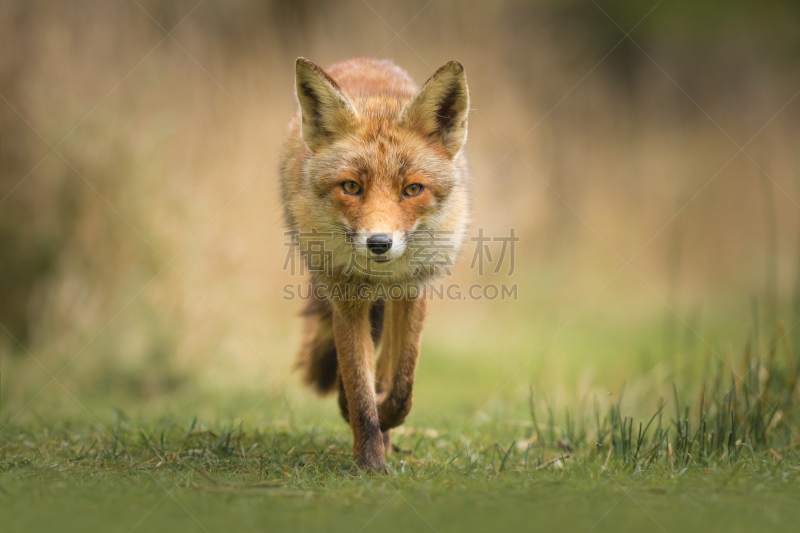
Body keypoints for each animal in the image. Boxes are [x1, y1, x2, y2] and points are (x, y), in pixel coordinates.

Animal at [280, 56, 468, 468]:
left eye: (412, 189)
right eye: (351, 187)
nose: (379, 243)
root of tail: (364, 61)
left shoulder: (414, 289)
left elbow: (400, 386)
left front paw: (384, 423)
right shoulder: (346, 298)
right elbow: (358, 386)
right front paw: (369, 462)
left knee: (386, 368)